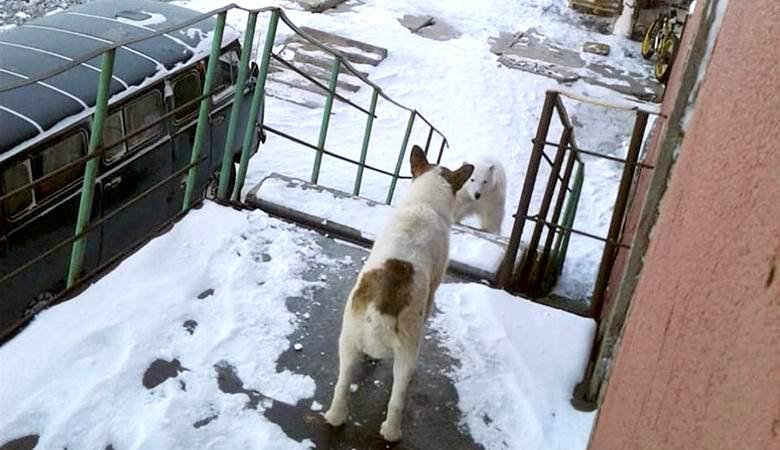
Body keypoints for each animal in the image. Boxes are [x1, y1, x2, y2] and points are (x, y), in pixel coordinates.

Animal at [324, 146, 476, 442]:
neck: (424, 203)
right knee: (397, 398)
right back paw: (392, 432)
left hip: (347, 341)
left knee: (342, 383)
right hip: (406, 350)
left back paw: (335, 417)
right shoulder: (434, 288)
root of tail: (379, 308)